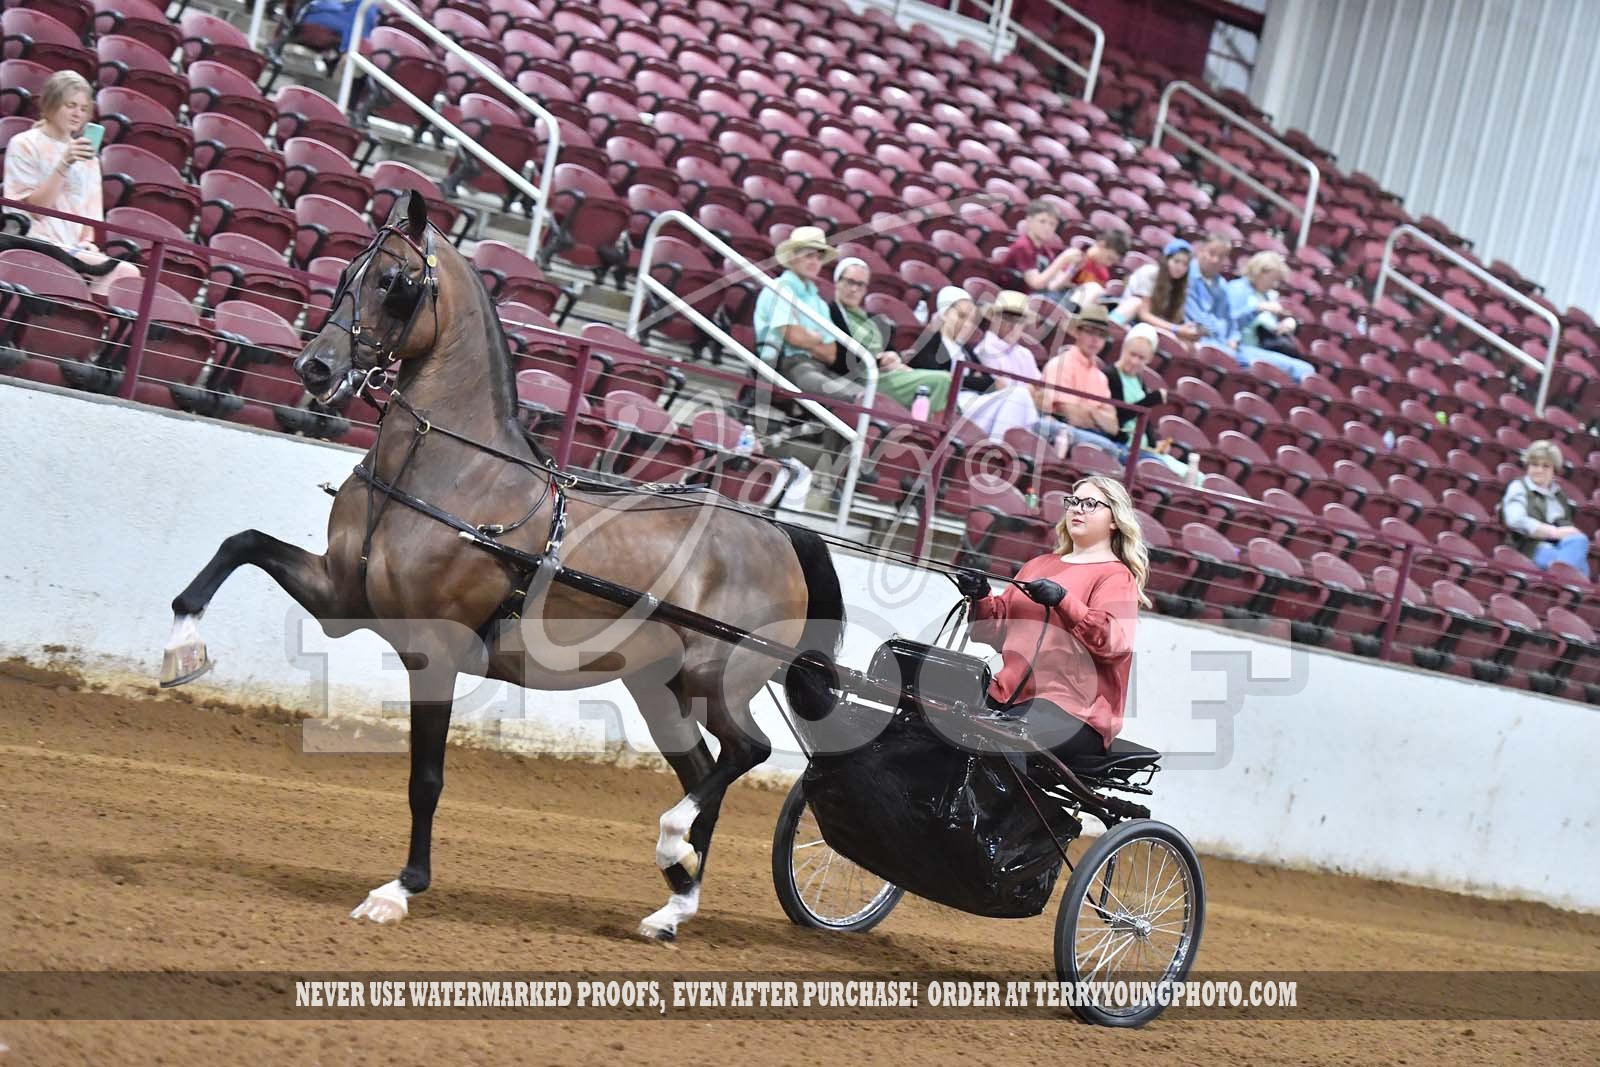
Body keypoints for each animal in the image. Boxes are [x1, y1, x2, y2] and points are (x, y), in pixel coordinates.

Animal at [161, 191, 846, 941]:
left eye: (394, 281)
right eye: (346, 271)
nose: (315, 367)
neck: (454, 473)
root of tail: (780, 533)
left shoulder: (435, 650)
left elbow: (425, 779)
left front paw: (400, 888)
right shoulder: (341, 594)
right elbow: (241, 543)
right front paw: (182, 645)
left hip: (718, 679)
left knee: (745, 753)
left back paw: (673, 848)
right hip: (659, 688)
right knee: (704, 768)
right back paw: (675, 899)